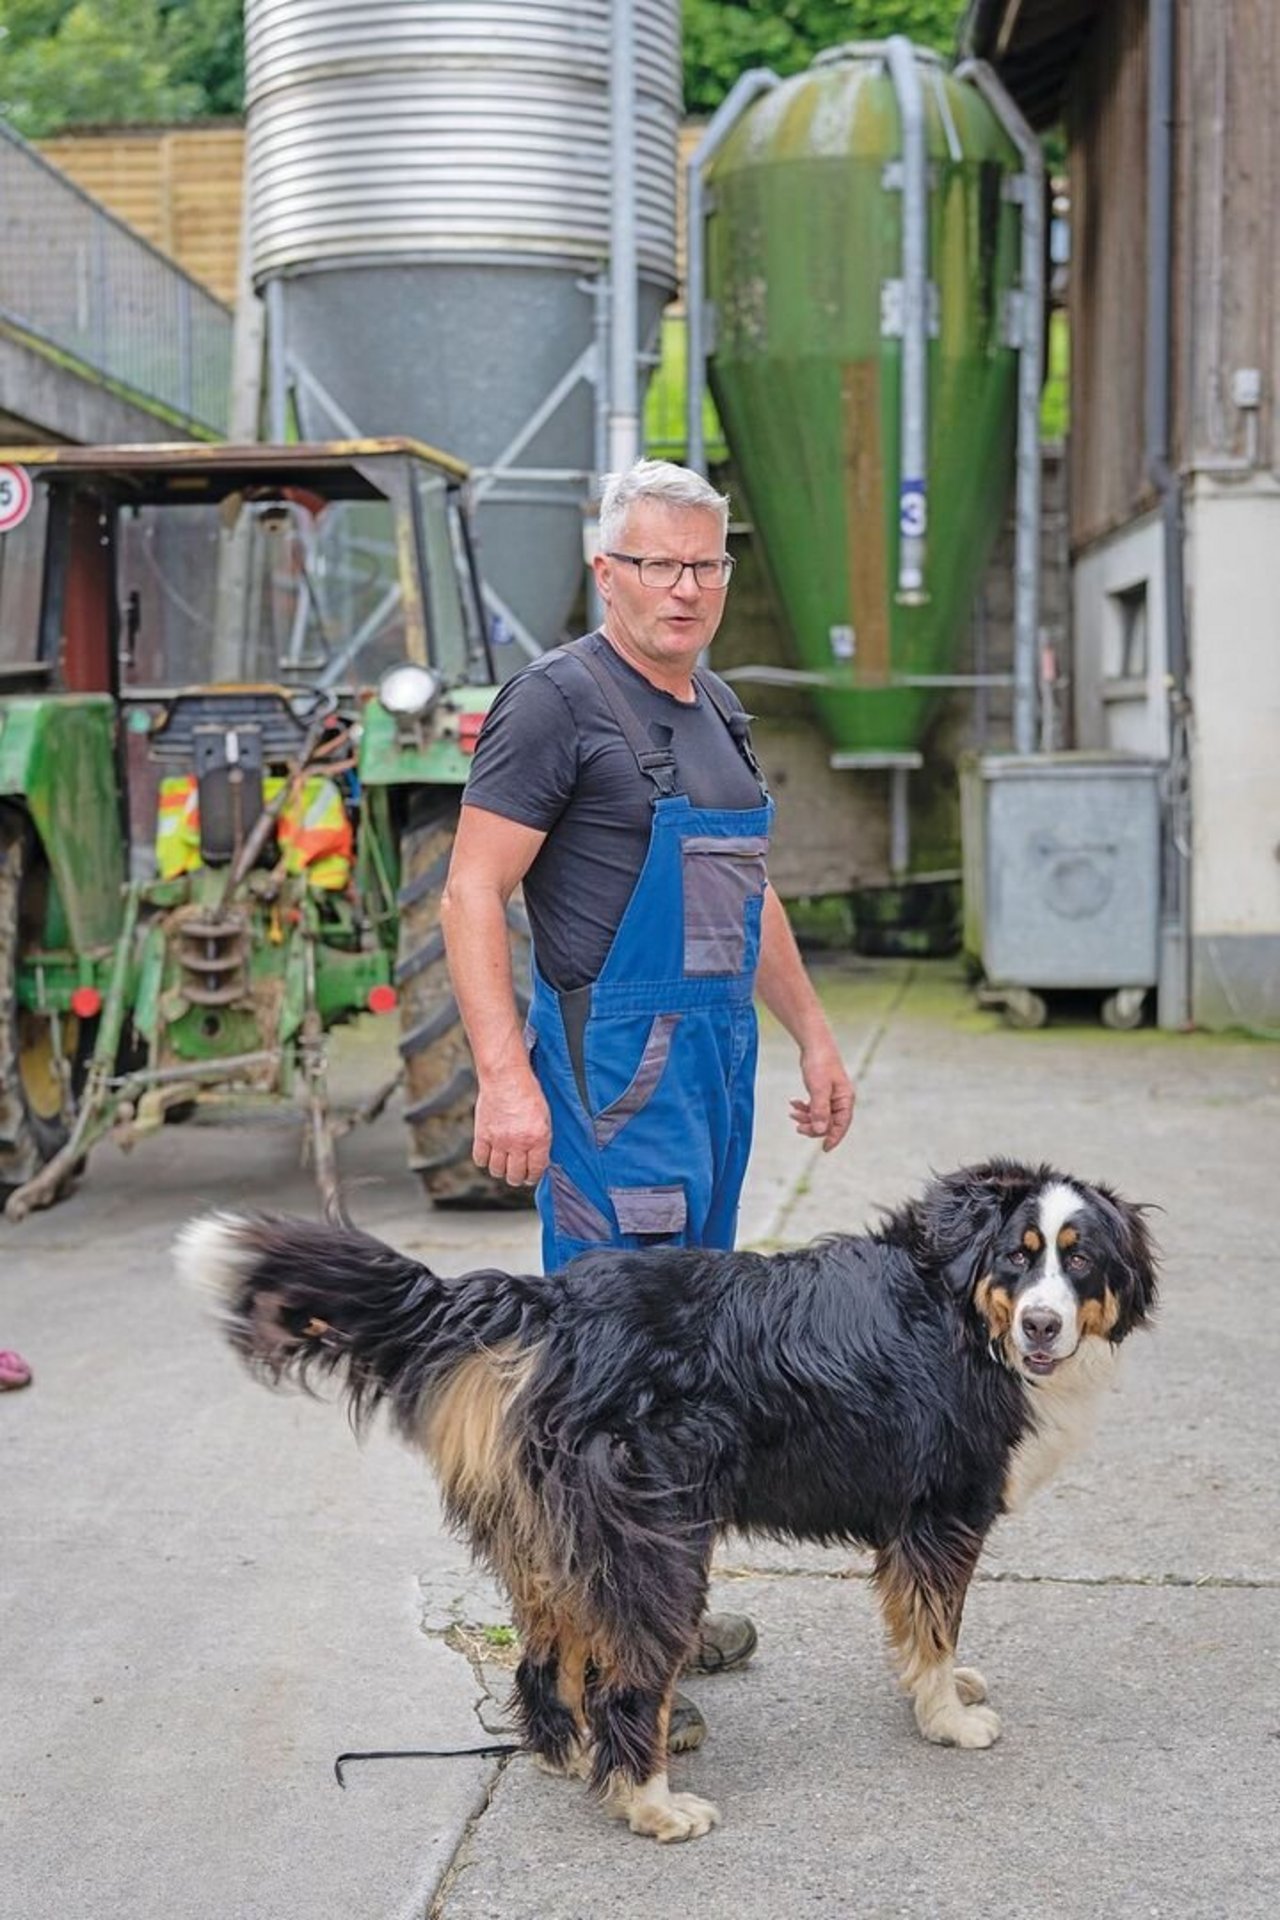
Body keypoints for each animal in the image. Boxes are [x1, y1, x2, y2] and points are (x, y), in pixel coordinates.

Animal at [177, 1152, 1159, 1843]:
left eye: (1081, 1264)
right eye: (1019, 1259)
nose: (1043, 1325)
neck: (963, 1314)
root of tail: (552, 1307)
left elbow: (925, 1626)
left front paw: (946, 1687)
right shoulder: (942, 1511)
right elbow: (934, 1622)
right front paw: (948, 1718)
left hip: (562, 1544)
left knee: (548, 1662)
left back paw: (573, 1756)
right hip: (656, 1541)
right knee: (626, 1683)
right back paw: (649, 1801)